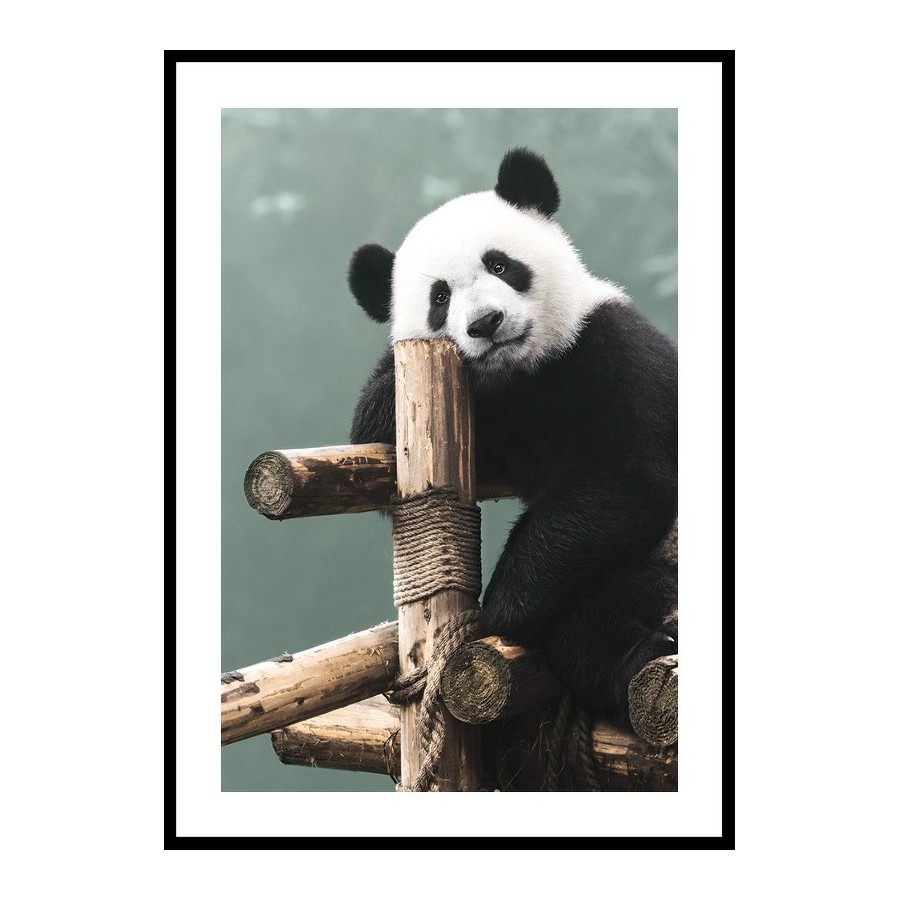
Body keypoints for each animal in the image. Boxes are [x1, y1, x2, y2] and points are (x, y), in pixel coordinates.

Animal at [347, 148, 677, 725]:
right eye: (439, 297)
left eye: (500, 265)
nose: (485, 322)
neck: (525, 373)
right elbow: (371, 433)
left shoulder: (617, 351)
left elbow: (627, 476)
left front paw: (500, 609)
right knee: (594, 623)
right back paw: (640, 655)